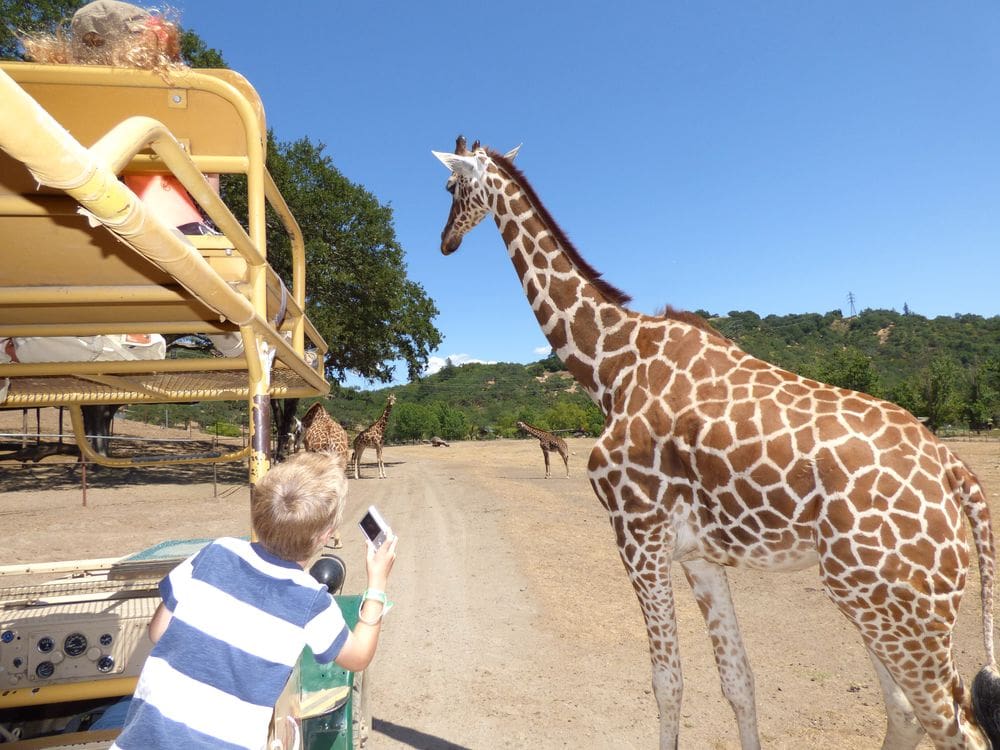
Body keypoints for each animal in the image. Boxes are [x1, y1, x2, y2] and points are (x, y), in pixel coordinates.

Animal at [434, 137, 1000, 750]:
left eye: (450, 187)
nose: (445, 242)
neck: (610, 367)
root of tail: (954, 469)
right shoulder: (699, 556)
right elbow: (738, 681)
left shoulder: (637, 537)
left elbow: (666, 682)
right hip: (875, 600)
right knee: (906, 711)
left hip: (900, 605)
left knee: (955, 726)